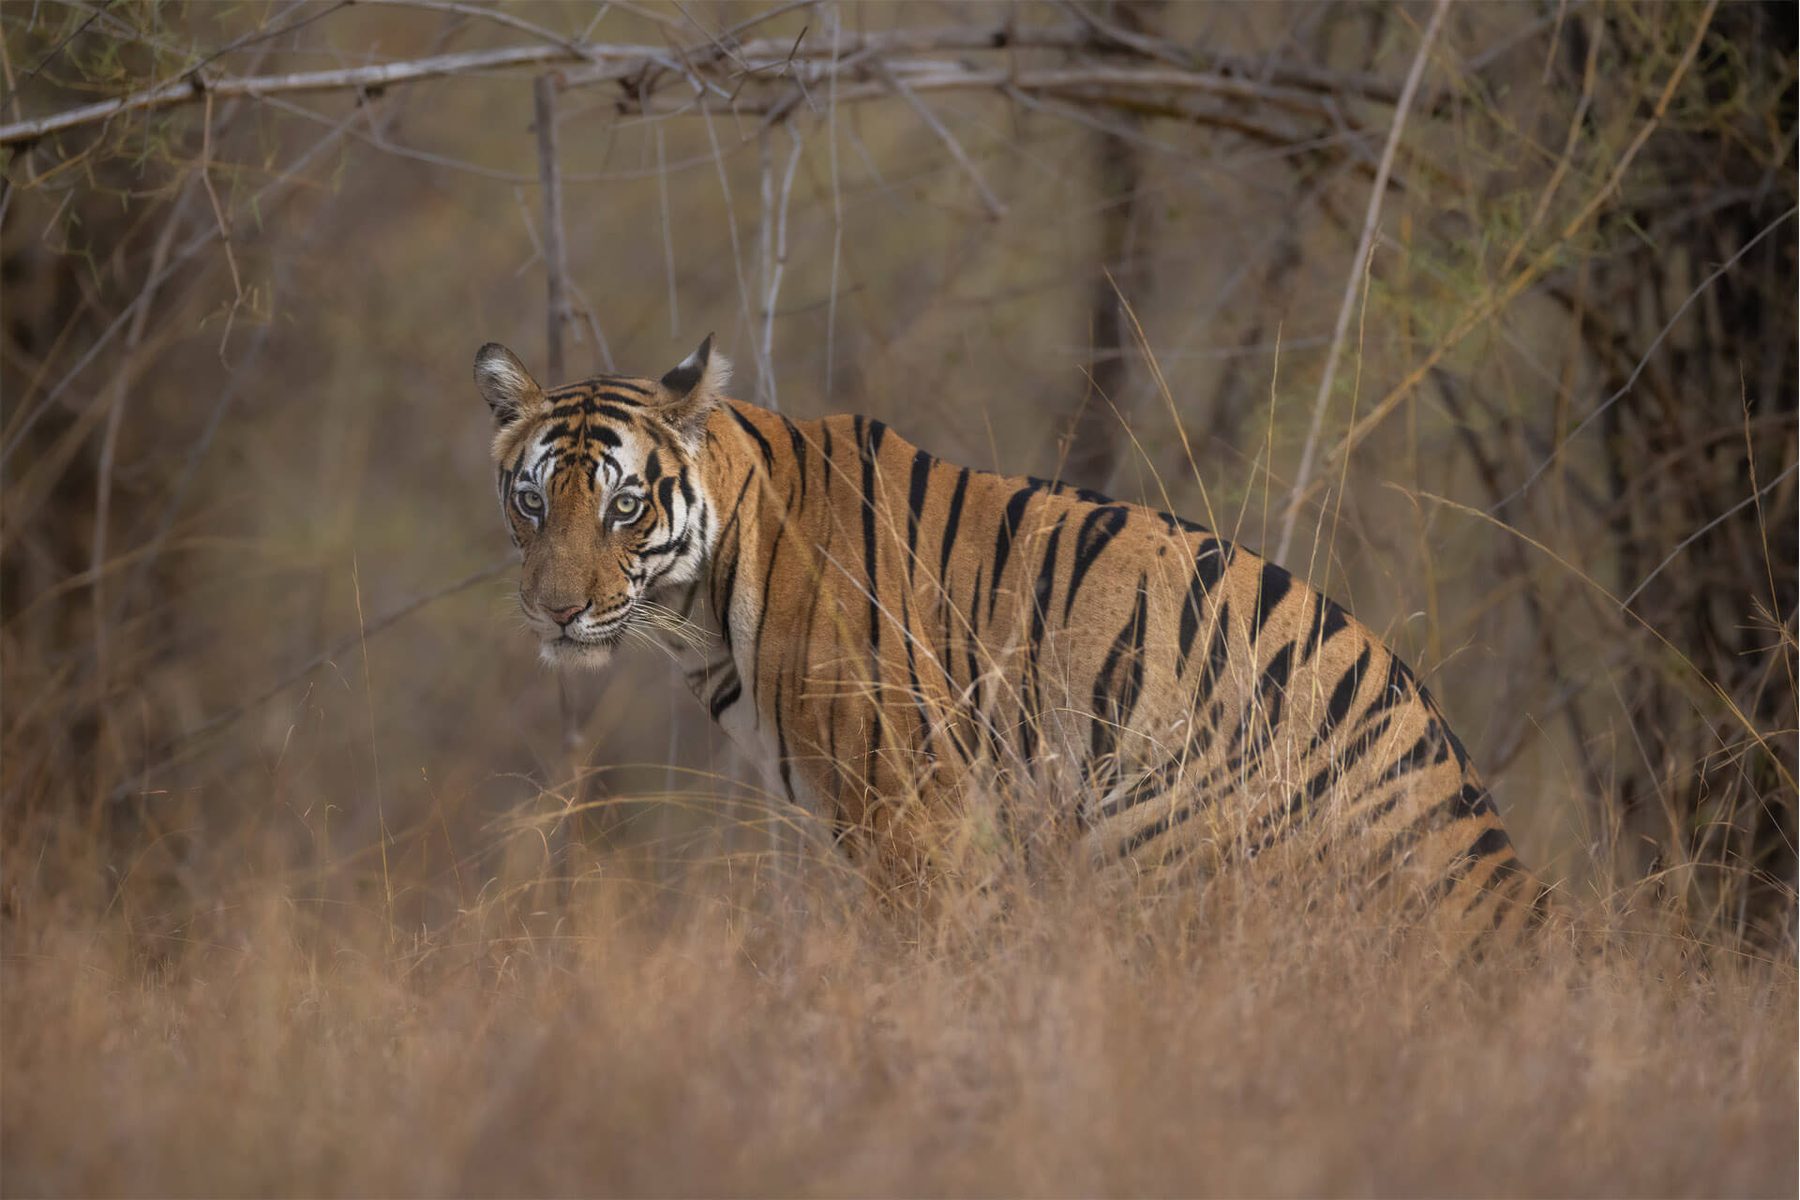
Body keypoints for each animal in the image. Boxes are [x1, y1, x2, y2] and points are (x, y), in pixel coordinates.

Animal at [474, 335, 1546, 939]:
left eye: (623, 505)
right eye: (532, 502)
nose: (556, 612)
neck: (701, 604)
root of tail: (1505, 880)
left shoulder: (913, 814)